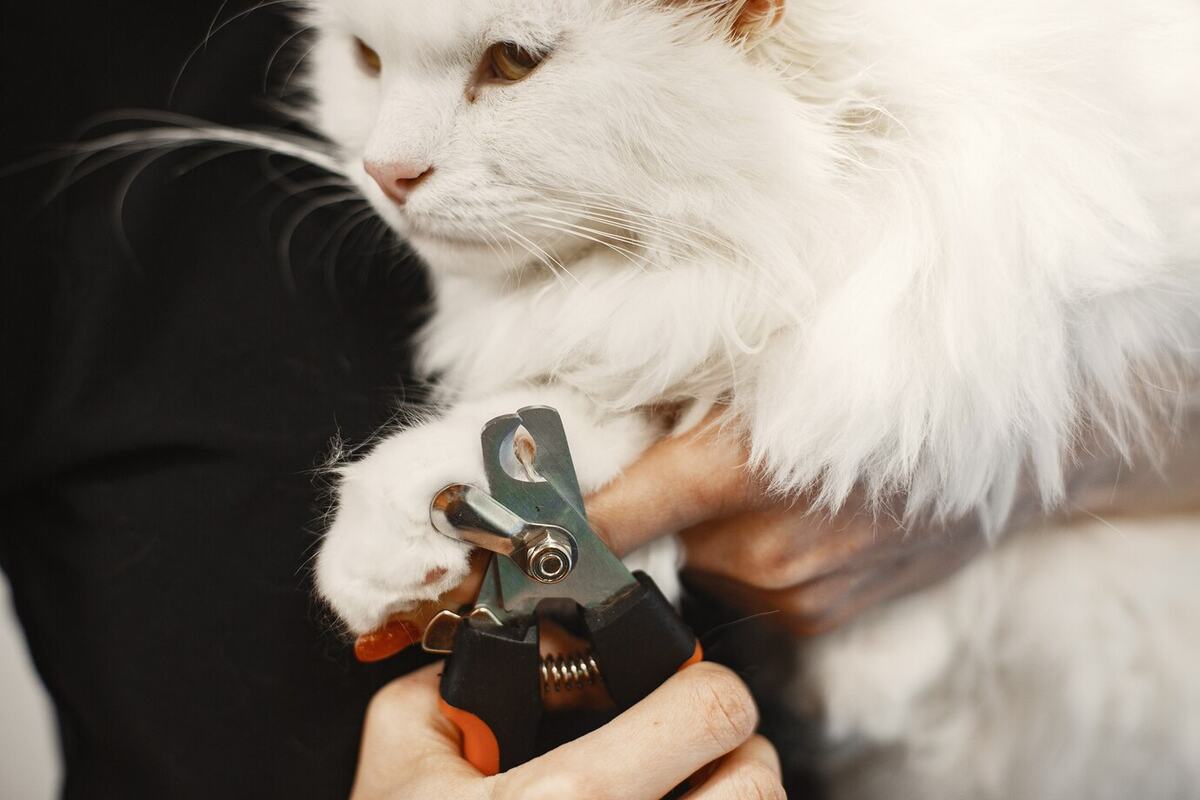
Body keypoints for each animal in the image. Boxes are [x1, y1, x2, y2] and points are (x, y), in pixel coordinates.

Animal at [302, 3, 1200, 796]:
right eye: (367, 62)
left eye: (514, 63)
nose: (386, 175)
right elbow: (583, 409)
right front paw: (388, 538)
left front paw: (884, 666)